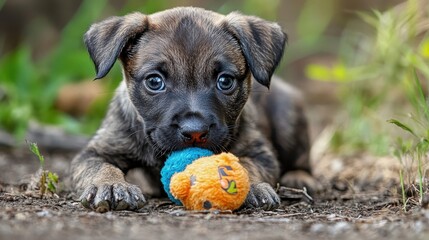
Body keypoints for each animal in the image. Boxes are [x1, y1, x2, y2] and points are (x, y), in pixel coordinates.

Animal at [71, 6, 314, 212]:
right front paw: (111, 185)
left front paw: (252, 186)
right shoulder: (97, 151)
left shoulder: (261, 153)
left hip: (287, 116)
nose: (195, 132)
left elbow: (246, 165)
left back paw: (300, 177)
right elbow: (100, 167)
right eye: (154, 81)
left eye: (225, 81)